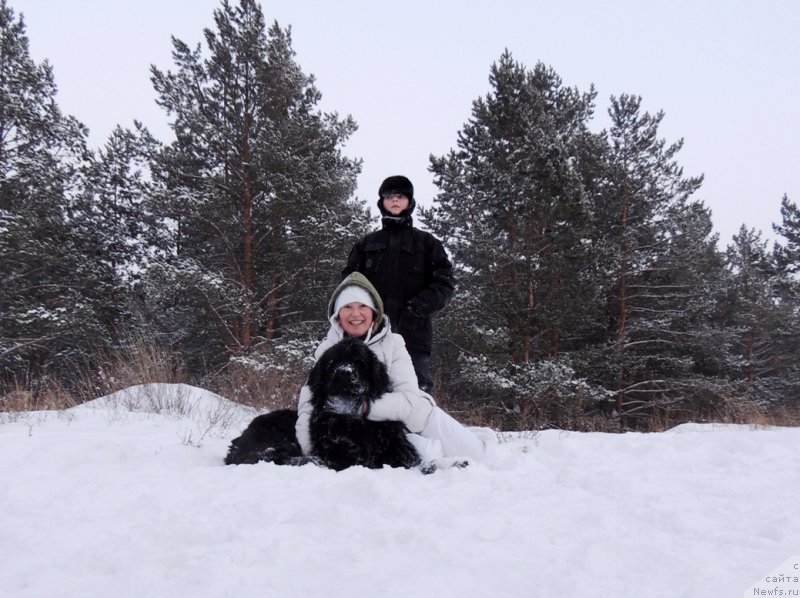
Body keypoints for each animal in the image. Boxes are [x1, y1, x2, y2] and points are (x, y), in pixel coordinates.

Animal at [222, 338, 422, 474]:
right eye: (334, 362)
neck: (352, 422)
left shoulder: (403, 452)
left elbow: (415, 463)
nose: (344, 373)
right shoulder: (336, 455)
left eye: (359, 362)